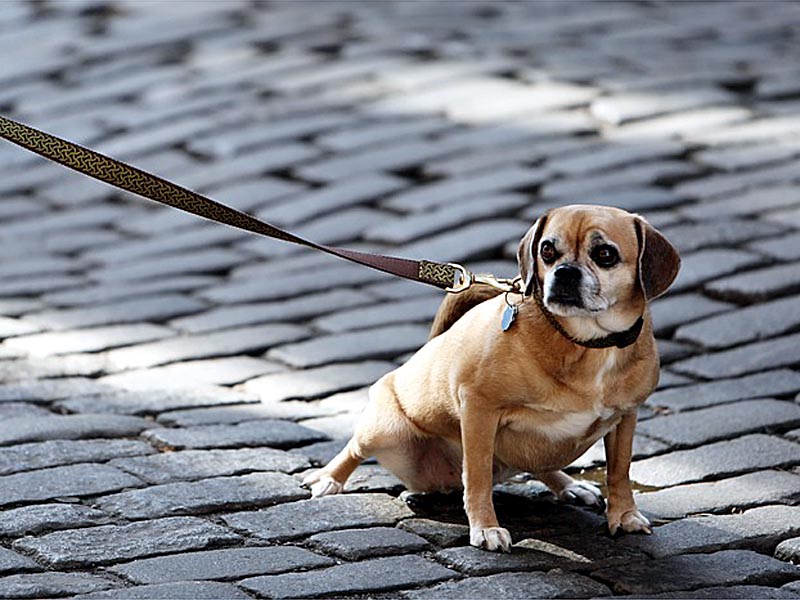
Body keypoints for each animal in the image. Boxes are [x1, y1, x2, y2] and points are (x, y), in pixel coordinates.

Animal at [304, 205, 680, 552]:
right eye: (547, 251)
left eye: (605, 255)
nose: (565, 273)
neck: (586, 343)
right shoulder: (479, 409)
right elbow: (478, 475)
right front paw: (485, 527)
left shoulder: (626, 417)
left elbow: (620, 471)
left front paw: (624, 516)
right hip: (384, 430)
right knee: (354, 448)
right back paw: (328, 479)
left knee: (540, 463)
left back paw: (569, 486)